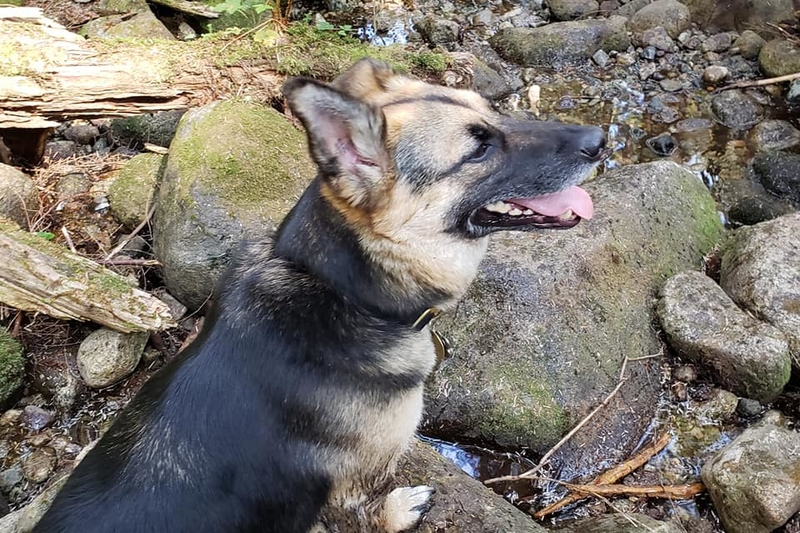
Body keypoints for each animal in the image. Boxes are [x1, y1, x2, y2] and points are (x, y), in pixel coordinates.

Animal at [31, 59, 608, 532]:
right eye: (479, 146)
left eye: (493, 112)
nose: (600, 139)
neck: (343, 291)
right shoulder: (349, 487)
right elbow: (372, 513)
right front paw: (400, 511)